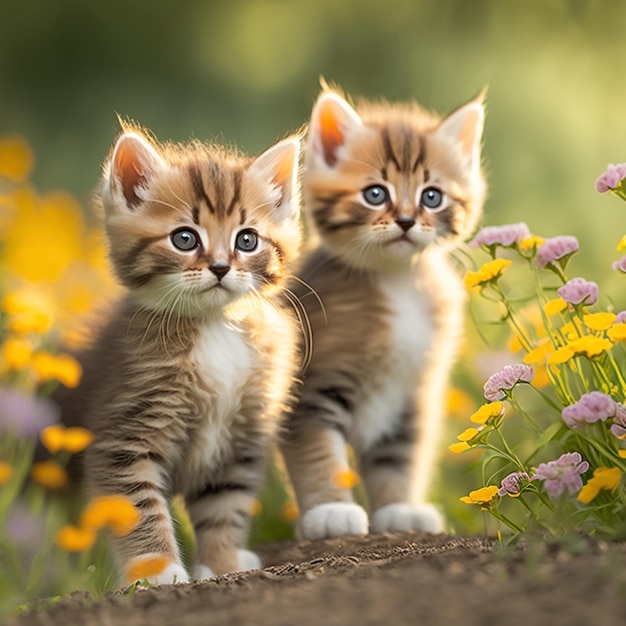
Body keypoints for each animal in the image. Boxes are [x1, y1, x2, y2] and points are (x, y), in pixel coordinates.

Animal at [57, 124, 302, 584]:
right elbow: (139, 508)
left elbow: (225, 507)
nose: (221, 267)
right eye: (184, 238)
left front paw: (223, 565)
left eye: (247, 240)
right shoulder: (124, 435)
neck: (213, 326)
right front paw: (158, 573)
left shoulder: (240, 436)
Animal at [280, 86, 486, 536]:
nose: (407, 221)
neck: (397, 283)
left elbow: (399, 455)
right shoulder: (310, 385)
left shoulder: (413, 392)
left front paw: (399, 508)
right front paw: (329, 511)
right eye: (375, 194)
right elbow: (318, 450)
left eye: (432, 196)